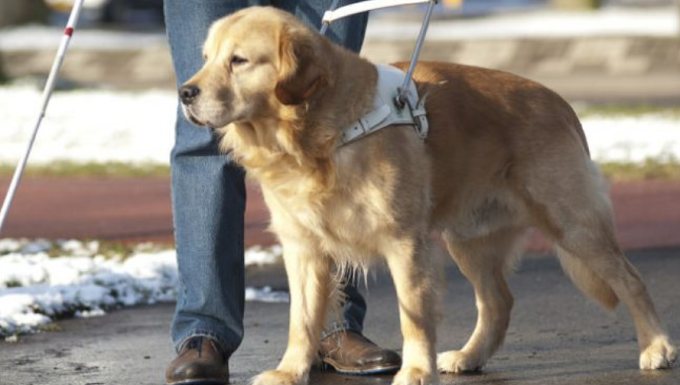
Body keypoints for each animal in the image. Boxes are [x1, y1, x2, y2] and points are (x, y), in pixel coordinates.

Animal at [179, 6, 676, 384]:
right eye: (205, 57)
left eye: (239, 61)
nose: (185, 92)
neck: (318, 134)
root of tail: (559, 101)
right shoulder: (303, 247)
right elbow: (301, 321)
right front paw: (289, 371)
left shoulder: (404, 240)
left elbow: (412, 314)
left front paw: (417, 371)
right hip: (468, 239)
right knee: (498, 302)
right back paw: (470, 356)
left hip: (571, 221)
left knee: (630, 279)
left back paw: (657, 346)